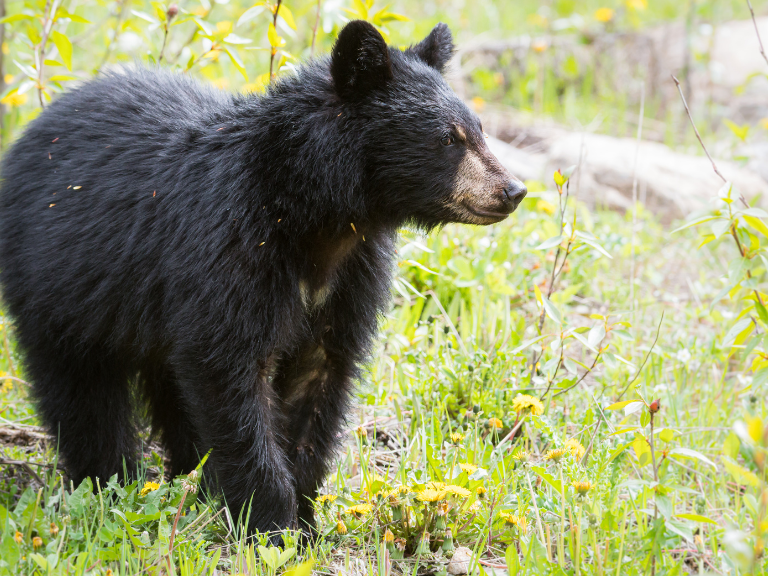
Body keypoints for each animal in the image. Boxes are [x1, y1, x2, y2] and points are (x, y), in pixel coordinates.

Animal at [0, 21, 524, 536]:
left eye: (479, 130)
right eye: (448, 138)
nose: (513, 190)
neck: (318, 219)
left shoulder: (351, 276)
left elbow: (318, 378)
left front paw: (304, 523)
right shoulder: (229, 245)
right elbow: (228, 370)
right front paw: (270, 522)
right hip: (58, 283)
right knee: (82, 393)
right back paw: (109, 482)